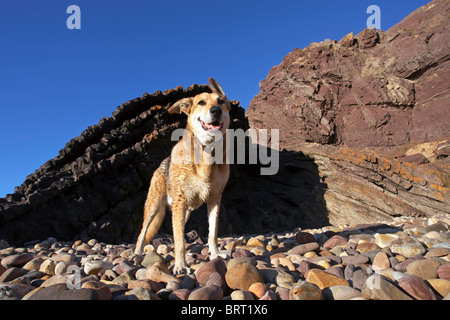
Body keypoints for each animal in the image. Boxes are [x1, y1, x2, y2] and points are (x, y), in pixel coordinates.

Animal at [134, 78, 230, 276]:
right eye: (201, 102)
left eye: (220, 101)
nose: (215, 111)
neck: (206, 155)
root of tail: (161, 164)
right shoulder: (180, 201)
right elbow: (180, 240)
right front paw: (180, 265)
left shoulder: (215, 199)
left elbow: (212, 233)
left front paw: (216, 254)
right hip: (155, 206)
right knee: (143, 232)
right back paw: (138, 254)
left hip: (183, 212)